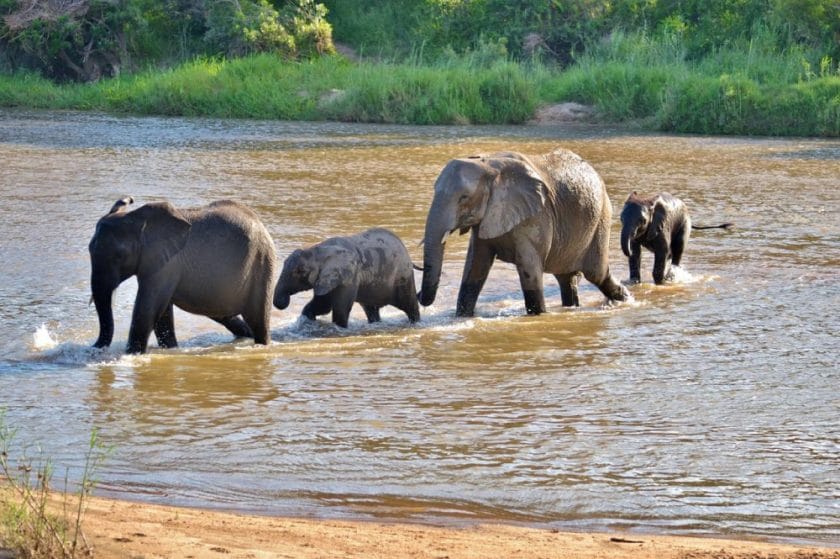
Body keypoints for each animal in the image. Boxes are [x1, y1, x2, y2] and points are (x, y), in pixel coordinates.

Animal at [90, 198, 278, 354]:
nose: (95, 348)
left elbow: (148, 309)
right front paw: (171, 350)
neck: (137, 219)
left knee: (258, 320)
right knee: (226, 317)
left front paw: (132, 355)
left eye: (119, 256)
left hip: (262, 264)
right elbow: (161, 312)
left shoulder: (167, 263)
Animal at [274, 228, 420, 328]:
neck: (319, 250)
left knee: (409, 305)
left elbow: (339, 309)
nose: (283, 302)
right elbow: (322, 305)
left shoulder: (349, 278)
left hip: (403, 276)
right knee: (371, 310)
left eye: (299, 271)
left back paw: (415, 323)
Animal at [420, 147, 632, 318]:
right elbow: (475, 267)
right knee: (566, 279)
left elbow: (529, 269)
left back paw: (627, 300)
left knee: (597, 274)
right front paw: (462, 317)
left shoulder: (536, 215)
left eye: (464, 198)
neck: (488, 164)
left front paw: (538, 315)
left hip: (601, 218)